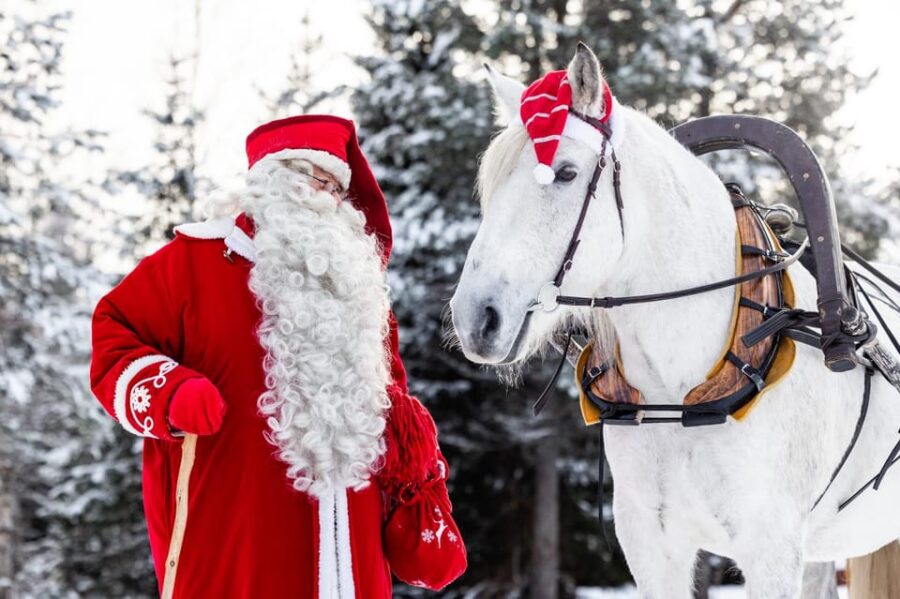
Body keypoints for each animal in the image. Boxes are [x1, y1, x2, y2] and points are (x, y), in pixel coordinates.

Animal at [449, 42, 900, 599]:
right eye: (489, 187)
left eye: (567, 173)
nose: (475, 317)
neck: (677, 390)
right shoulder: (650, 540)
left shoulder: (770, 546)